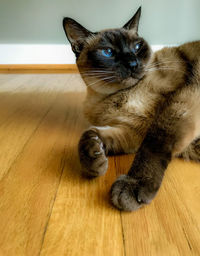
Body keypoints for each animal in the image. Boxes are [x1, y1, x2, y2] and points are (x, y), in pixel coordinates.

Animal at [62, 7, 200, 212]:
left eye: (136, 47)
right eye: (108, 52)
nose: (133, 64)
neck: (111, 97)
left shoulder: (178, 107)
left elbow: (153, 145)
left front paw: (133, 186)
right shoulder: (133, 132)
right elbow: (89, 134)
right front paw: (94, 159)